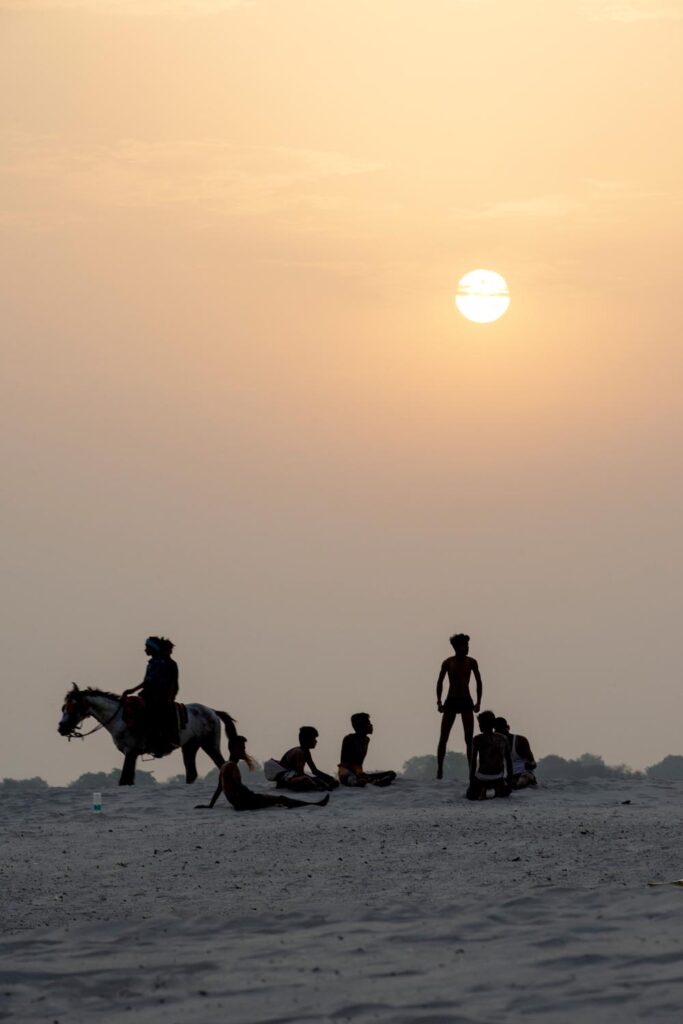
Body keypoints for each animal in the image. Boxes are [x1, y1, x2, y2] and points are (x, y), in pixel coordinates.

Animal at [58, 684, 240, 786]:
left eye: (73, 707)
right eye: (63, 707)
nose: (61, 728)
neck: (120, 717)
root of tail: (212, 711)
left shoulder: (130, 752)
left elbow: (124, 780)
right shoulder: (131, 754)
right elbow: (128, 781)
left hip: (210, 744)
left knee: (221, 764)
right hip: (189, 747)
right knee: (192, 773)